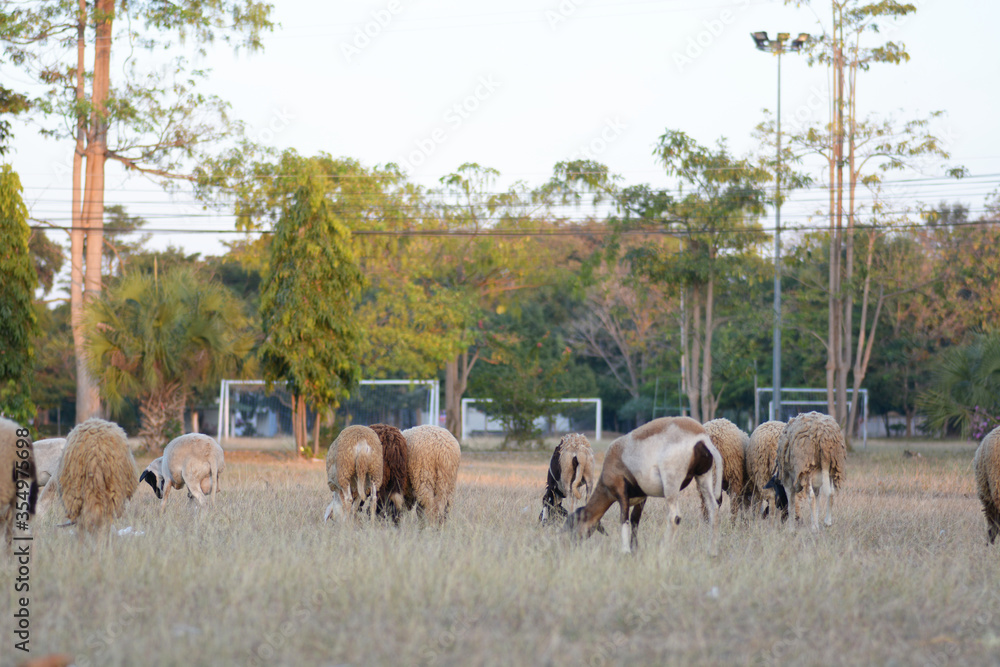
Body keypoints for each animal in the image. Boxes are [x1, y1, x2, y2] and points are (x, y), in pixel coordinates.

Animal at [565, 416, 723, 555]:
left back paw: (662, 552)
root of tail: (701, 437)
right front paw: (634, 549)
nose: (568, 544)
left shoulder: (621, 492)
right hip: (703, 477)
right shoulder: (642, 497)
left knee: (675, 517)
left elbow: (624, 519)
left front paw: (625, 551)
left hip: (671, 484)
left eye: (573, 522)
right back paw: (712, 552)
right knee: (713, 509)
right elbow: (635, 520)